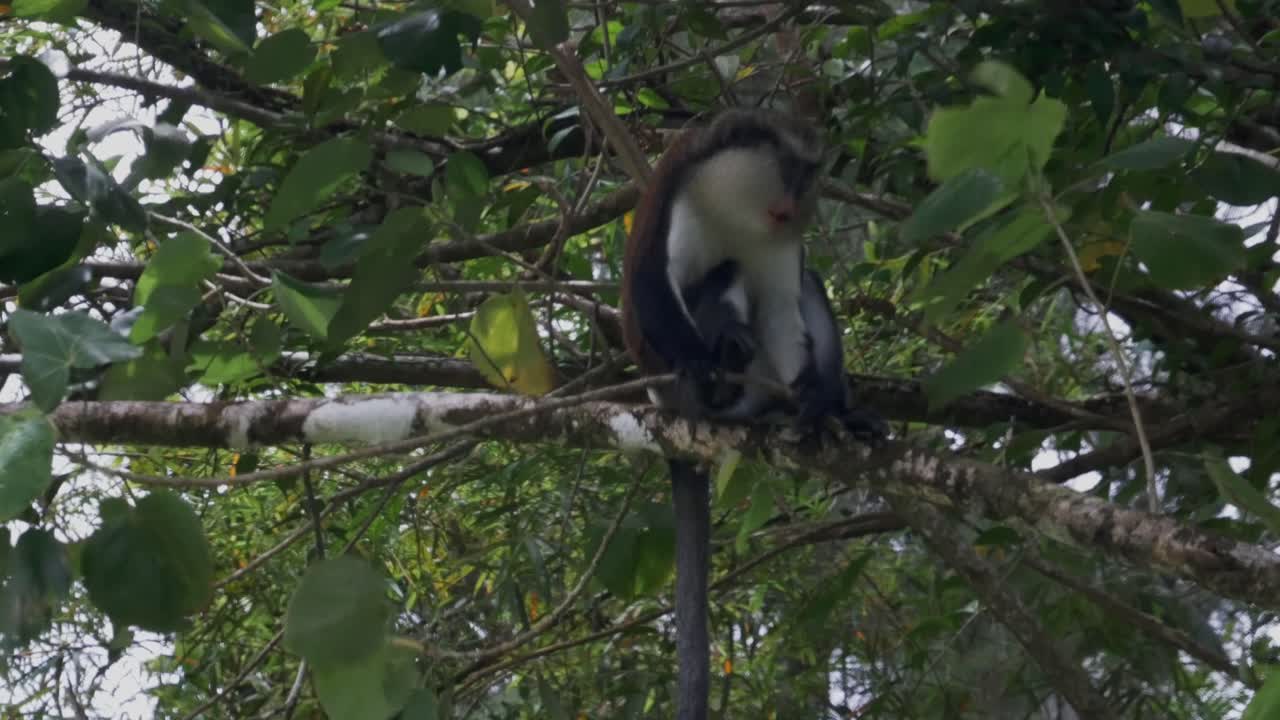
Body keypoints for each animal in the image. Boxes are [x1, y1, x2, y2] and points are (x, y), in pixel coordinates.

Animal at [620, 108, 887, 720]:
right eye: (789, 167)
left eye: (810, 175)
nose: (792, 202)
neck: (733, 200)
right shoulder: (679, 189)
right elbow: (651, 286)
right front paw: (700, 359)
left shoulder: (779, 244)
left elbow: (785, 308)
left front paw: (818, 405)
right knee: (725, 274)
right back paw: (719, 370)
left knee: (797, 289)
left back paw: (823, 408)